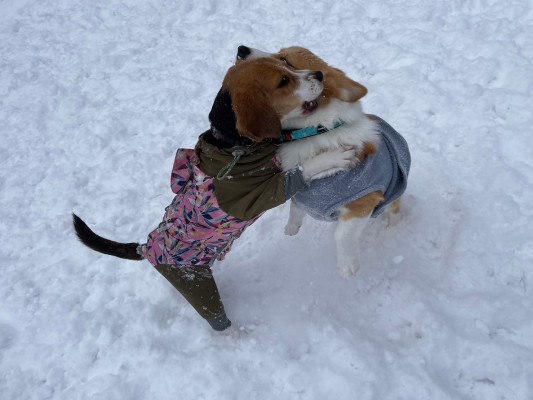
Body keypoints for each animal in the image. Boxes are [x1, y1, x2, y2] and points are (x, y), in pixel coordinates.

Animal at [235, 46, 410, 278]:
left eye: (285, 60)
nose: (242, 49)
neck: (312, 132)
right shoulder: (299, 192)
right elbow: (294, 209)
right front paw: (291, 228)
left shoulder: (364, 200)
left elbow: (342, 234)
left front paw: (347, 266)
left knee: (394, 210)